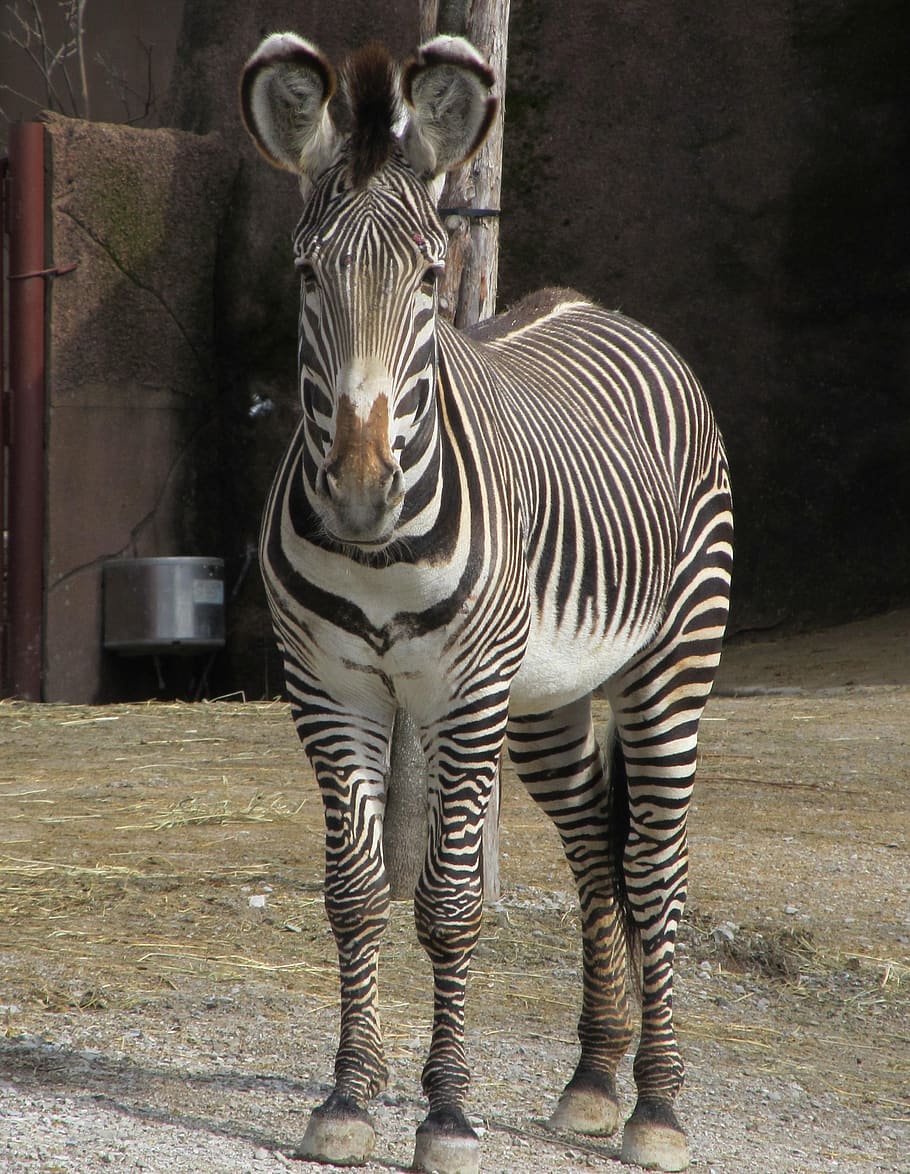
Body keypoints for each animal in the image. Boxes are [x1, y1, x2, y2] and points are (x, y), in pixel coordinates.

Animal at [241, 30, 733, 1174]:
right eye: (306, 274)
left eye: (429, 277)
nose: (360, 489)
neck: (379, 552)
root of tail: (596, 306)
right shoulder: (328, 691)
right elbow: (354, 895)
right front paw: (349, 1098)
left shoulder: (464, 698)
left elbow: (453, 904)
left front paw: (448, 1114)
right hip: (549, 693)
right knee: (597, 844)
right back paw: (594, 1079)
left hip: (671, 661)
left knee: (657, 863)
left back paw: (656, 1108)